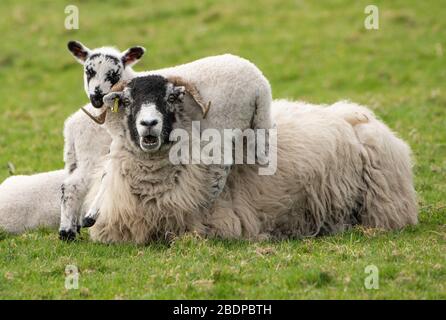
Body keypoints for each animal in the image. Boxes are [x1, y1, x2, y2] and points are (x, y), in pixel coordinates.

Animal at [84, 75, 418, 245]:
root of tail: (356, 114)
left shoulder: (221, 224)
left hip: (385, 202)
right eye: (127, 101)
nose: (149, 124)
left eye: (171, 97)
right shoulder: (113, 229)